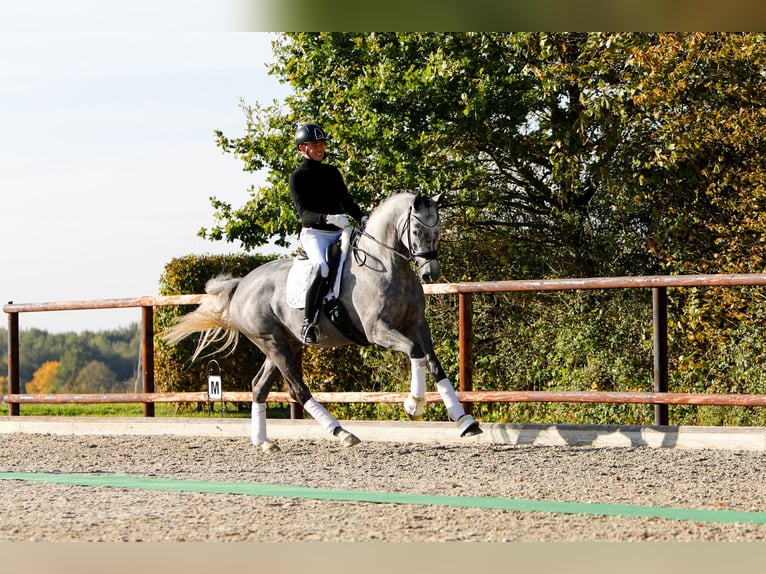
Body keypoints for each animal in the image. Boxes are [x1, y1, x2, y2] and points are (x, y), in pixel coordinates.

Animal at [165, 191, 484, 452]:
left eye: (438, 230)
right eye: (417, 230)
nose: (431, 273)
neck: (387, 265)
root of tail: (242, 283)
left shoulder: (417, 324)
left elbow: (434, 363)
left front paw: (464, 420)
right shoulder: (378, 330)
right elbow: (416, 353)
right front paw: (413, 405)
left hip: (285, 344)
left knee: (259, 386)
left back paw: (264, 442)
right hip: (273, 343)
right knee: (297, 388)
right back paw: (342, 433)